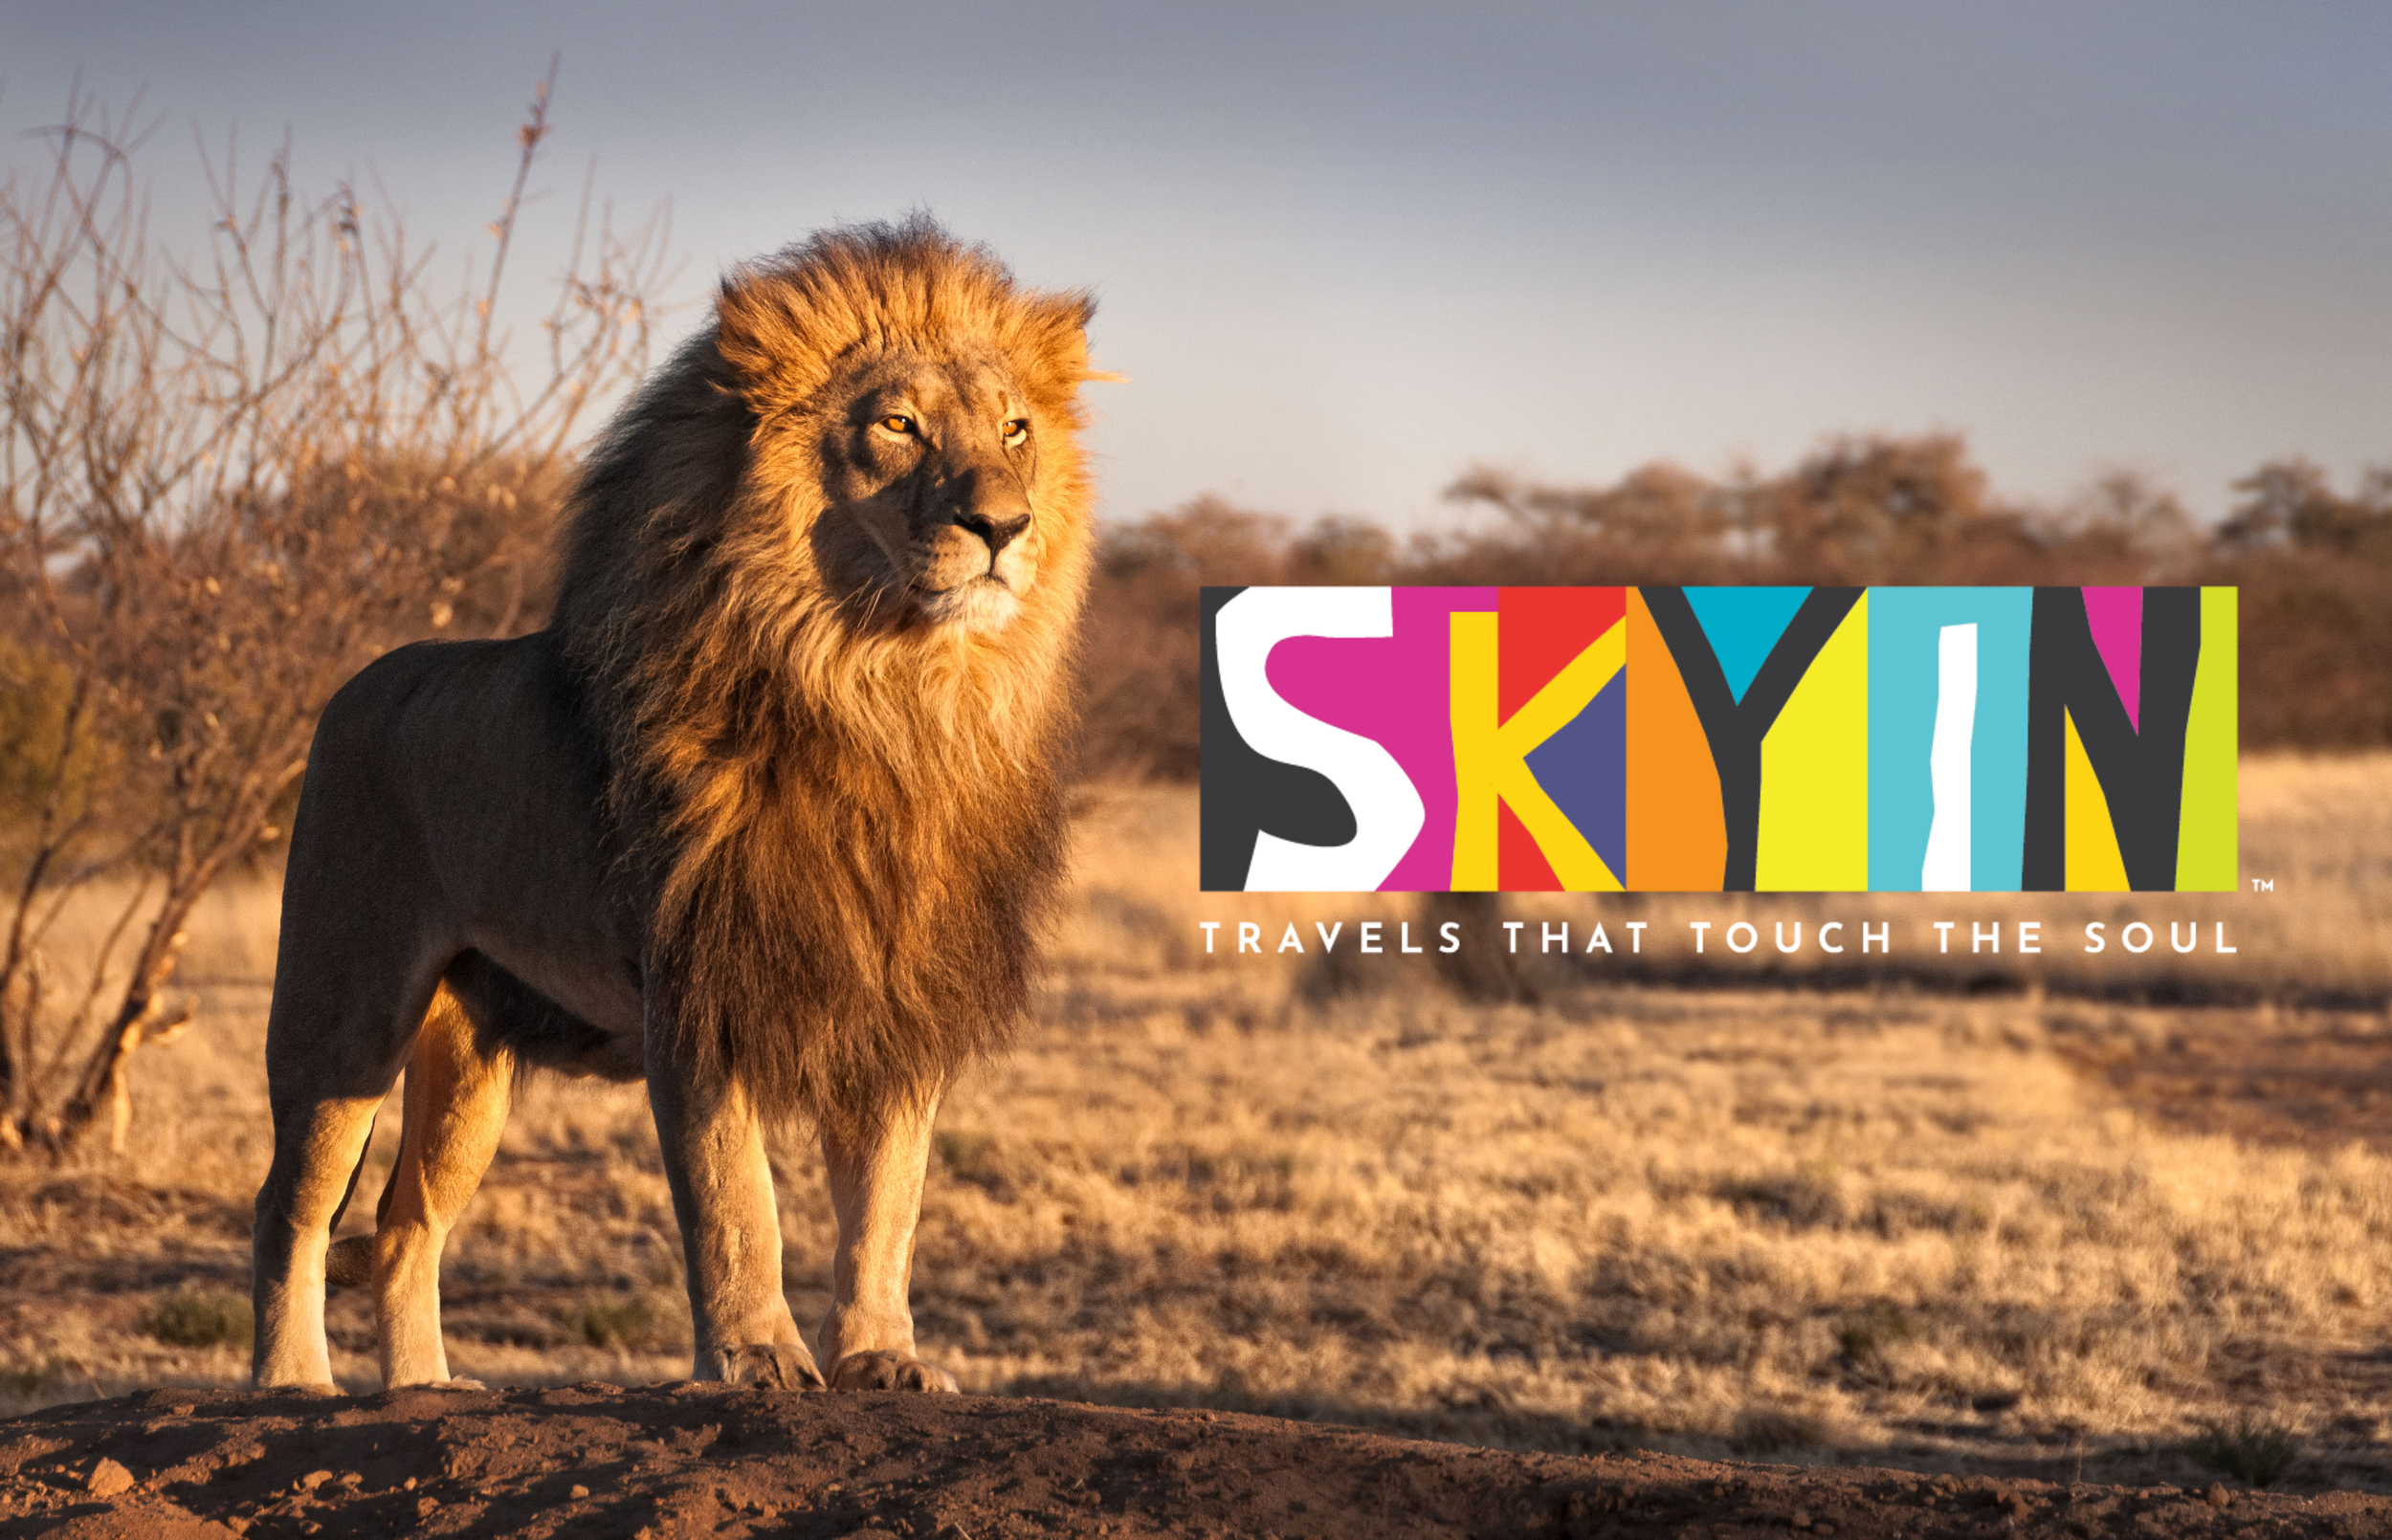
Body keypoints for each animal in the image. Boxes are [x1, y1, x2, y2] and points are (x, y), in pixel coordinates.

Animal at [249, 218, 1104, 1394]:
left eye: (1016, 429)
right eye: (897, 425)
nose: (1004, 524)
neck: (885, 697)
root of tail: (356, 683)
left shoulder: (899, 997)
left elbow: (888, 1203)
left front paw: (882, 1357)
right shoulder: (698, 983)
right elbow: (735, 1198)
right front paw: (756, 1357)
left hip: (471, 1058)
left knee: (405, 1222)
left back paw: (424, 1386)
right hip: (345, 1009)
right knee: (289, 1203)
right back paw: (292, 1380)